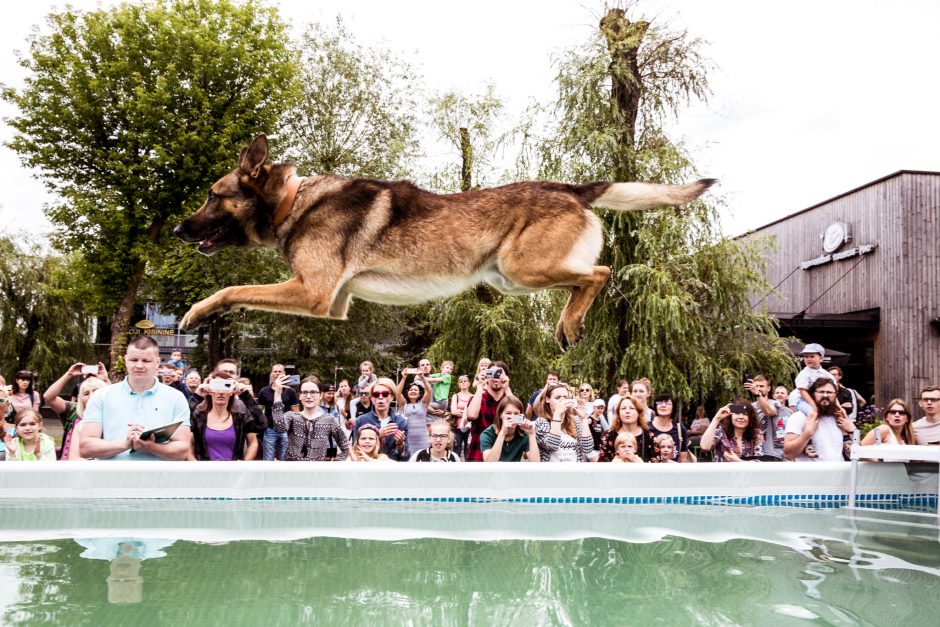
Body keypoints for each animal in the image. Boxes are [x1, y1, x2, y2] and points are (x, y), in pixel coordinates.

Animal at [174, 136, 712, 348]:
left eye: (212, 196)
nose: (178, 230)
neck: (291, 201)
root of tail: (570, 188)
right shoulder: (332, 303)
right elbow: (241, 293)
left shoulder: (311, 292)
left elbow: (232, 289)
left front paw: (197, 313)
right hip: (513, 279)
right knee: (590, 278)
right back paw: (567, 323)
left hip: (522, 268)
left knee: (600, 274)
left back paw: (570, 323)